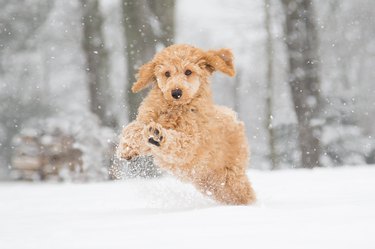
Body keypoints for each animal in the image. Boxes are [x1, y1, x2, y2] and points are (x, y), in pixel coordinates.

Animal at [117, 44, 258, 204]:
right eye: (167, 73)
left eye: (188, 71)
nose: (176, 92)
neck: (175, 109)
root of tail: (234, 118)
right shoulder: (146, 119)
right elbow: (132, 128)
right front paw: (126, 149)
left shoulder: (190, 143)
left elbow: (177, 142)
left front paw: (158, 135)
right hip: (209, 182)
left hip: (231, 176)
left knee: (244, 193)